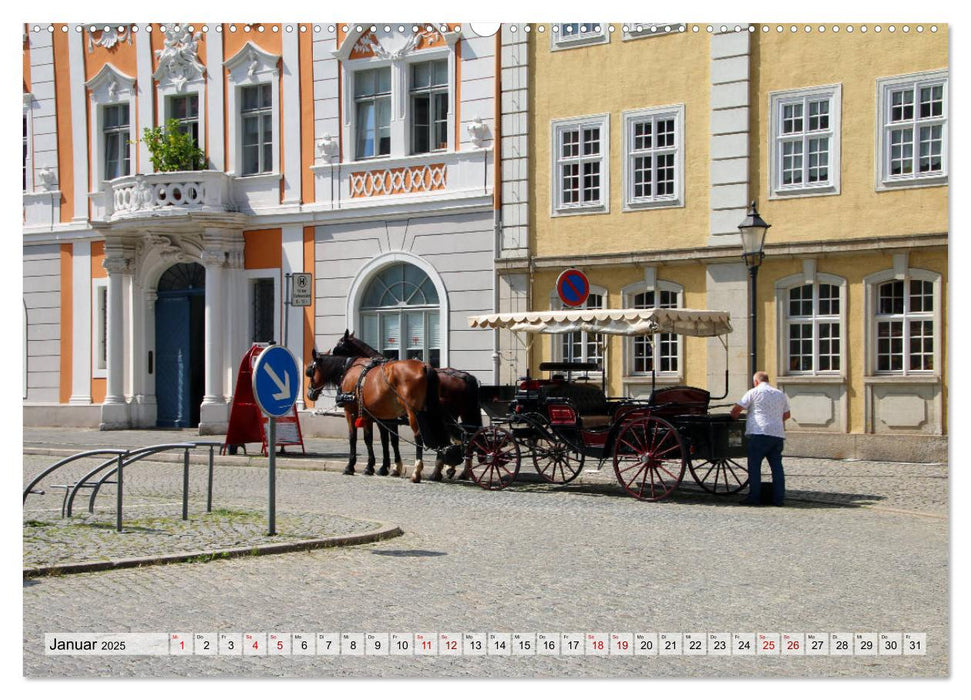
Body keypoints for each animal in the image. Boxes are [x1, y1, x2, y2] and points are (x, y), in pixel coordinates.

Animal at [308, 348, 452, 482]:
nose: (309, 394)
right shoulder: (379, 417)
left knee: (419, 438)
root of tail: (424, 366)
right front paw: (383, 467)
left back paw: (417, 472)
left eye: (310, 371)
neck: (349, 371)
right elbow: (385, 440)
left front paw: (353, 467)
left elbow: (357, 438)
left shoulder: (353, 413)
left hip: (414, 413)